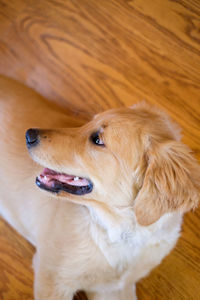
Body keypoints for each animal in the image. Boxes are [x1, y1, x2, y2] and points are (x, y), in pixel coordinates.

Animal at [0, 74, 199, 300]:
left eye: (97, 139)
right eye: (87, 123)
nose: (29, 135)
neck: (123, 233)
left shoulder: (116, 288)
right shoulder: (52, 279)